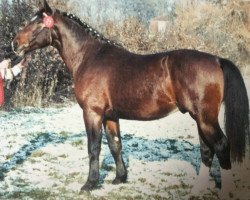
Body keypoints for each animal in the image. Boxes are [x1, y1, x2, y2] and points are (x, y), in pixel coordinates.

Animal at [12, 0, 250, 196]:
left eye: (38, 24)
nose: (15, 44)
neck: (89, 57)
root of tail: (217, 60)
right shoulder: (110, 116)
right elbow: (115, 145)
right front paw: (119, 178)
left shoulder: (92, 113)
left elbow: (94, 148)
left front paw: (89, 185)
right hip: (200, 118)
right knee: (207, 150)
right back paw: (197, 189)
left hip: (205, 117)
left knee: (221, 146)